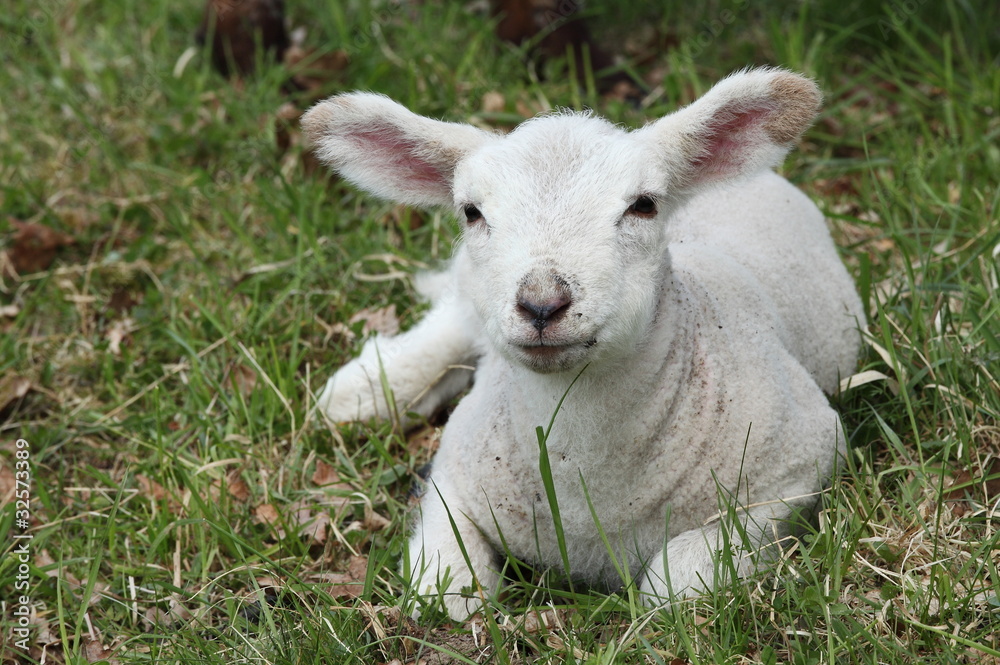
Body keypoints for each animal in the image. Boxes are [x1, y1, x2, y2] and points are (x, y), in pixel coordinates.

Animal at [301, 68, 865, 621]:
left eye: (644, 205)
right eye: (471, 212)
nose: (541, 303)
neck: (584, 495)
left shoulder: (797, 471)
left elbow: (675, 586)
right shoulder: (453, 475)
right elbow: (447, 590)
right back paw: (368, 391)